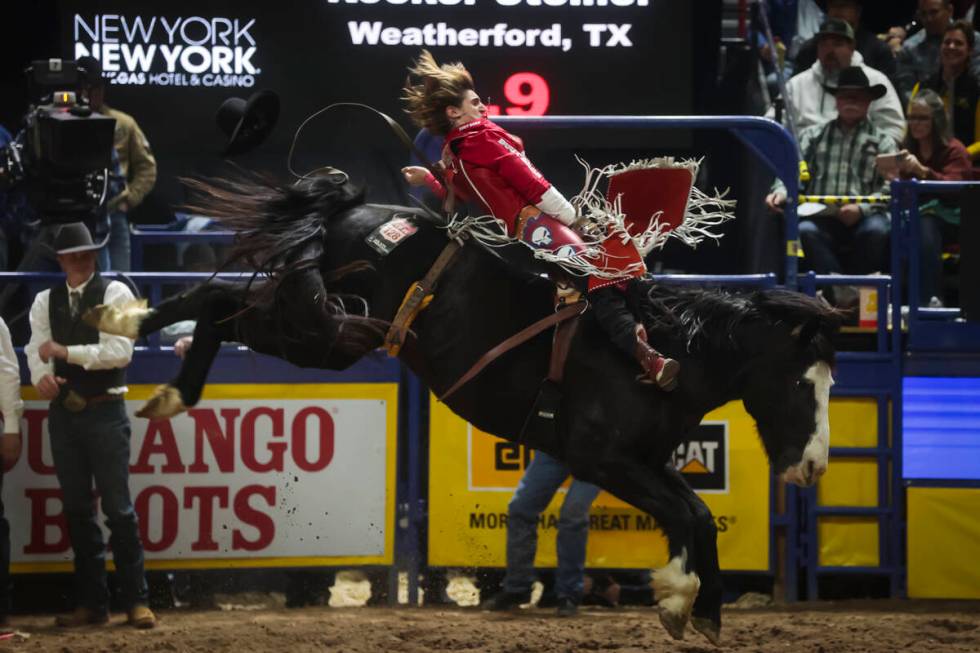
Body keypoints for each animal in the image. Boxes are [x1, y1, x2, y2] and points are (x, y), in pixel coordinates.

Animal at [84, 171, 840, 644]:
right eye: (802, 384)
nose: (813, 467)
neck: (661, 351)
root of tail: (355, 209)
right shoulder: (605, 458)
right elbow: (687, 514)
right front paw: (683, 598)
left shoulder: (646, 462)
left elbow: (699, 515)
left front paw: (697, 605)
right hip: (324, 333)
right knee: (215, 302)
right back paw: (139, 339)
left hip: (323, 330)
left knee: (213, 304)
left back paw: (139, 341)